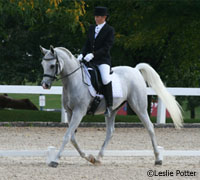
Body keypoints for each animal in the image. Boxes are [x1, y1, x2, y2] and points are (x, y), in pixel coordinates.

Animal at [39, 45, 182, 167]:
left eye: (52, 65)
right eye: (42, 65)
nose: (45, 85)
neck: (74, 81)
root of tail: (135, 70)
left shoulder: (79, 112)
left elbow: (67, 136)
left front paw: (55, 160)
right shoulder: (69, 112)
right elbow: (72, 137)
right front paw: (88, 157)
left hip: (139, 107)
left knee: (150, 127)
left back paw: (158, 159)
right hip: (112, 110)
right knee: (110, 131)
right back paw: (98, 158)